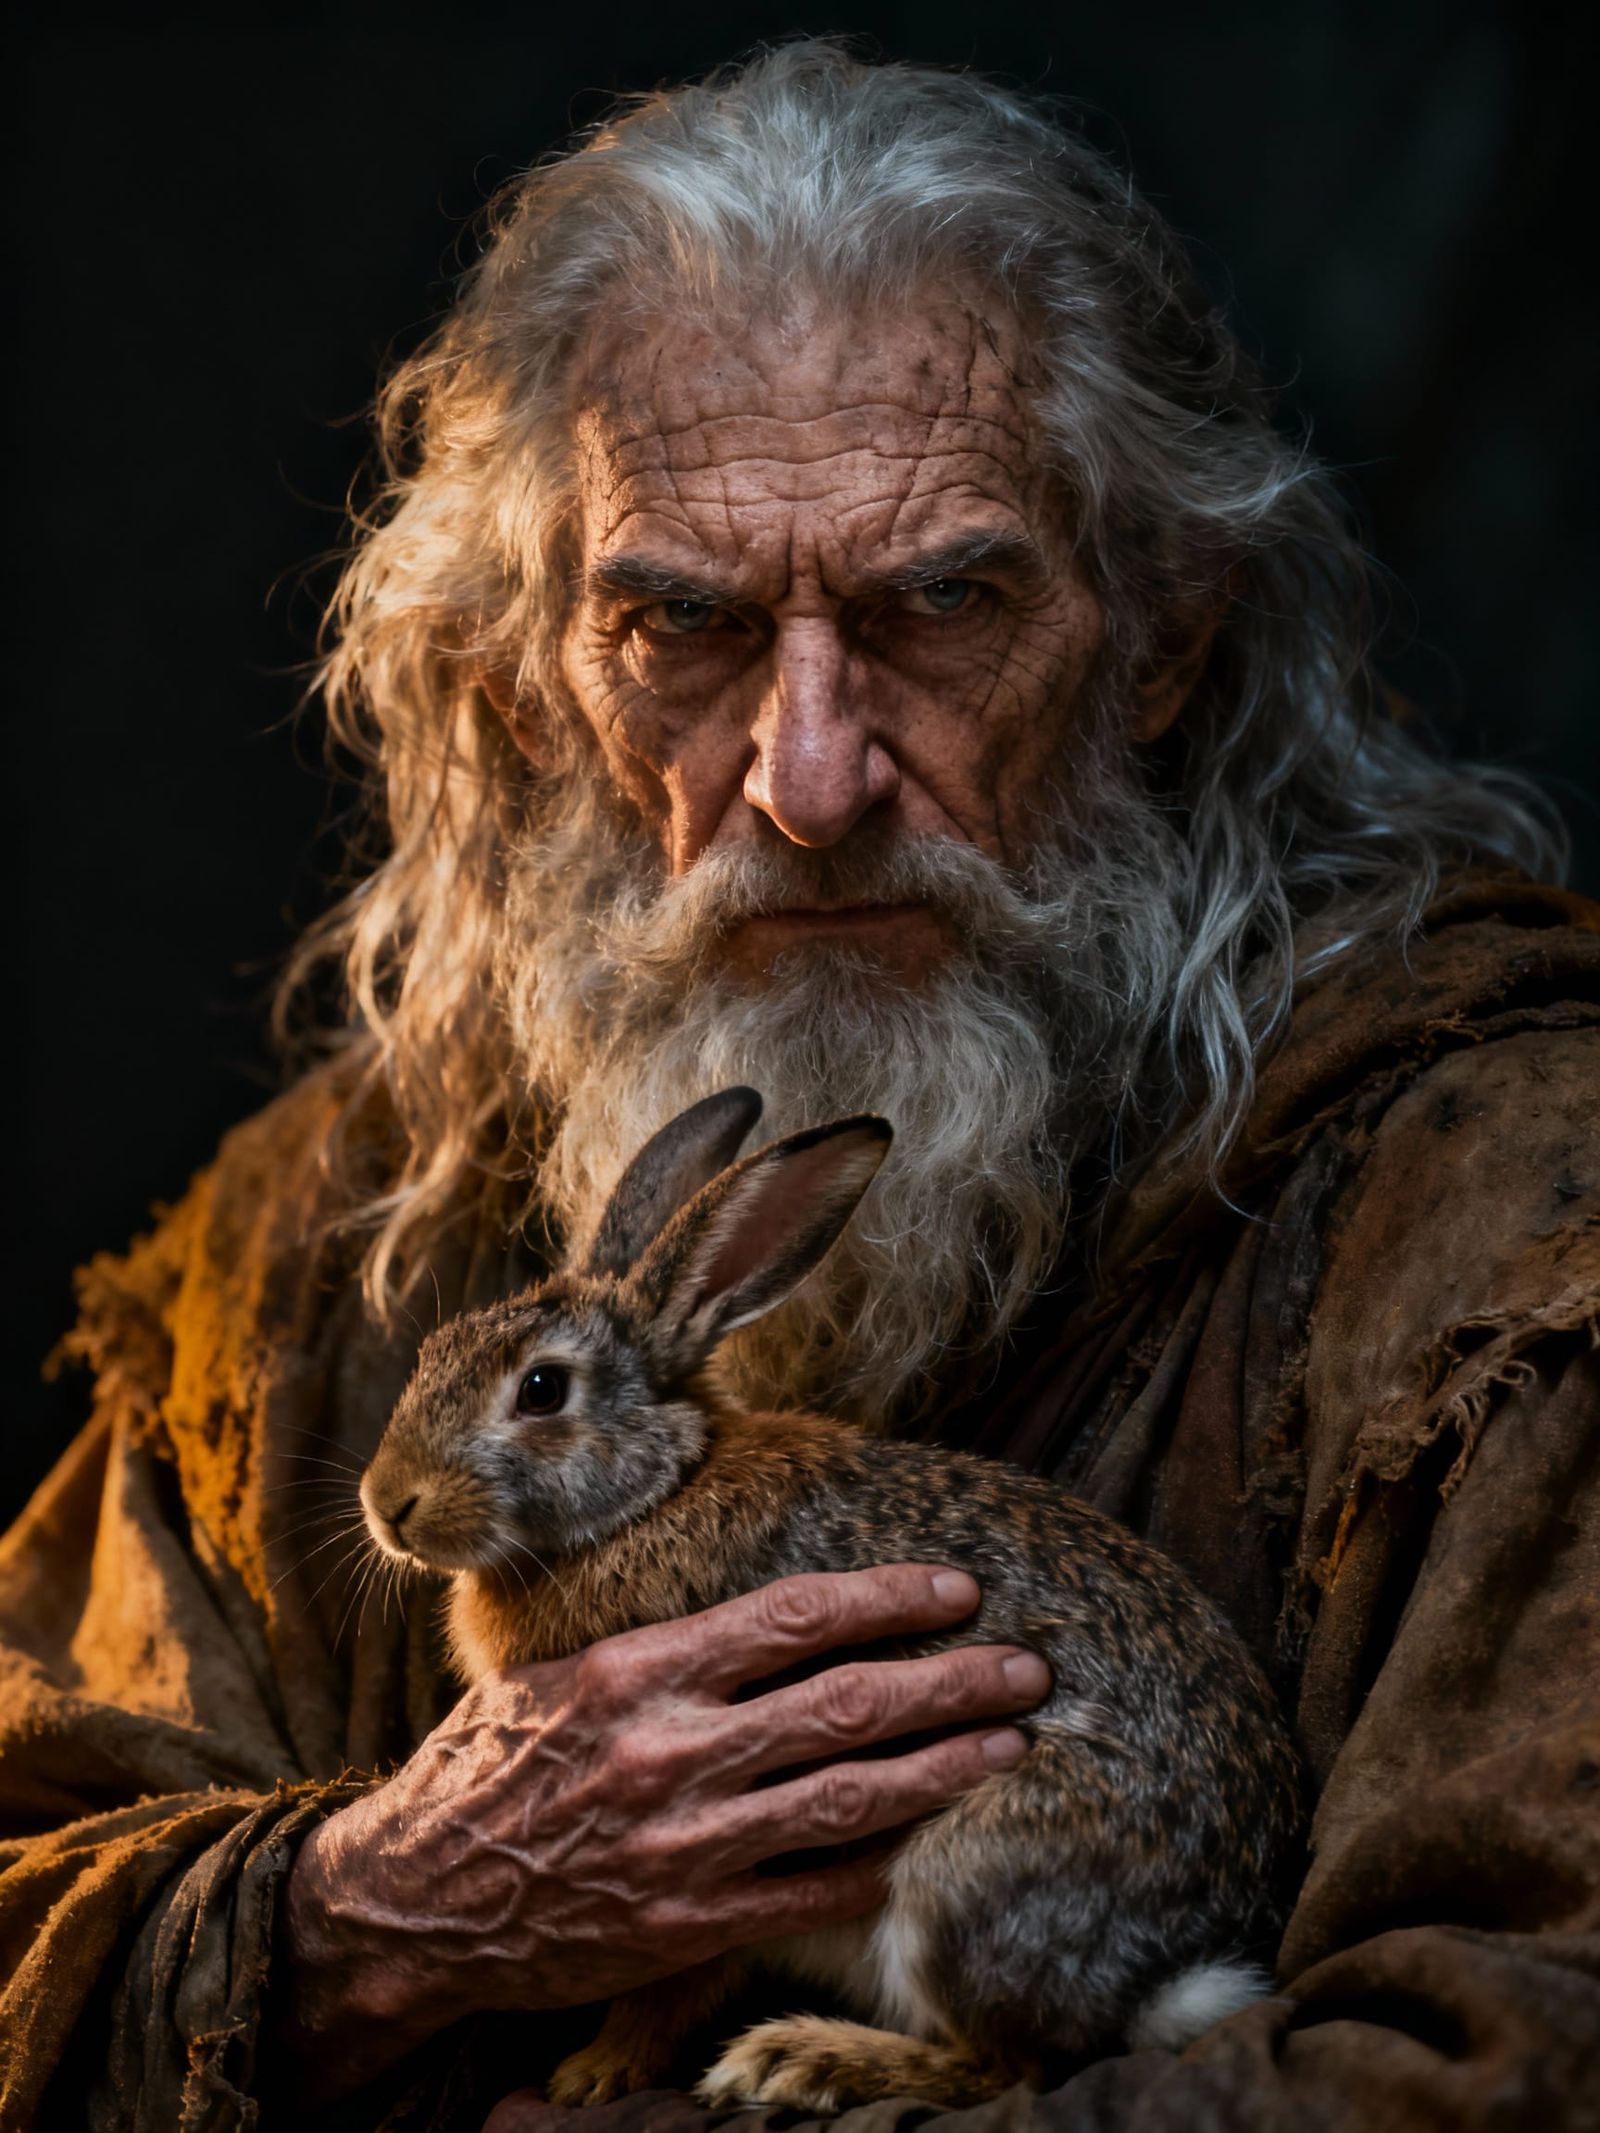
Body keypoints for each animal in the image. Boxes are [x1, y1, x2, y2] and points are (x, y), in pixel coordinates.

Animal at [359, 1087, 1305, 2115]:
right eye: (434, 1350)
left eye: (540, 1390)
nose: (388, 1502)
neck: (656, 1492)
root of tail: (1172, 1971)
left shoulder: (714, 1861)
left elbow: (670, 1985)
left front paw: (592, 2073)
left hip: (963, 1878)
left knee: (1009, 2065)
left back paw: (800, 2057)